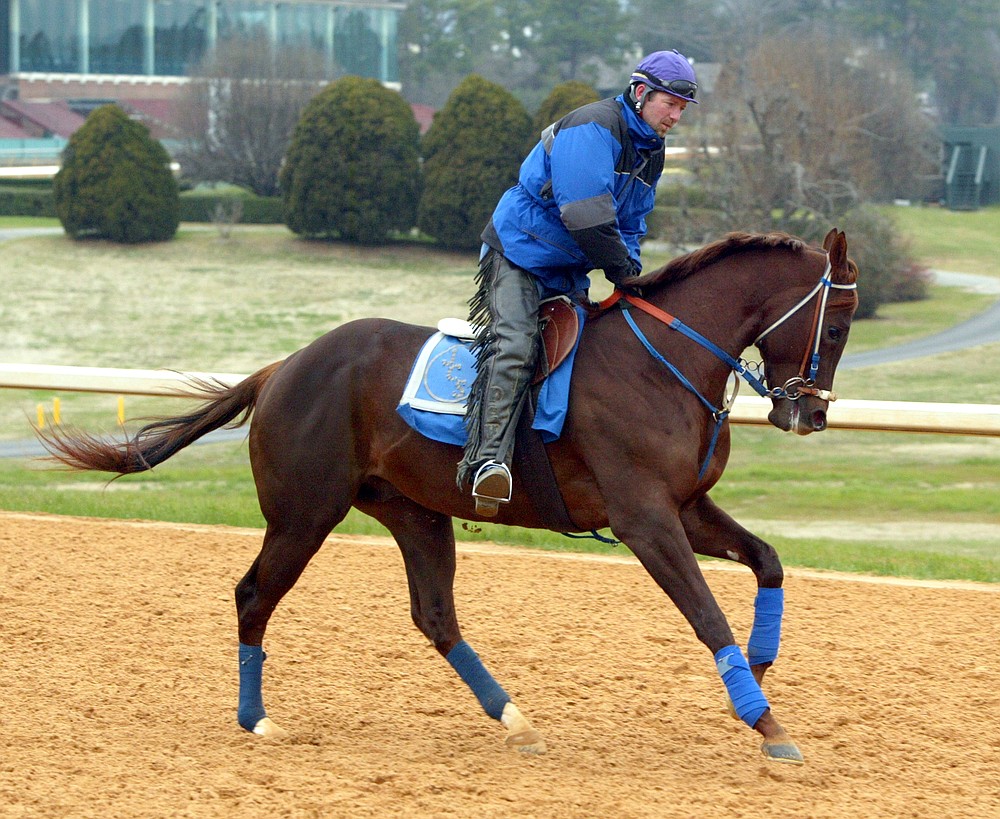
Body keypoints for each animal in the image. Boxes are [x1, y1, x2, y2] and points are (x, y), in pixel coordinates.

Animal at [35, 229, 856, 764]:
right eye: (839, 321)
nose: (811, 415)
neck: (664, 361)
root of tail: (281, 368)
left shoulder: (684, 506)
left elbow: (768, 560)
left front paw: (762, 662)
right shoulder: (645, 518)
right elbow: (705, 612)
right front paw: (765, 721)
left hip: (415, 512)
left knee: (434, 616)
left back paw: (516, 720)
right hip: (304, 513)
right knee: (252, 595)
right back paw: (256, 720)